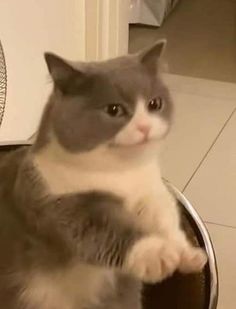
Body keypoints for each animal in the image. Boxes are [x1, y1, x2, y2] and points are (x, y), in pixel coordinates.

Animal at [0, 39, 206, 306]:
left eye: (154, 104)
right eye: (114, 109)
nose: (144, 127)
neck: (121, 174)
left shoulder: (151, 192)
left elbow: (164, 216)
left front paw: (187, 254)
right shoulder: (54, 203)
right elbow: (101, 229)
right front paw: (157, 254)